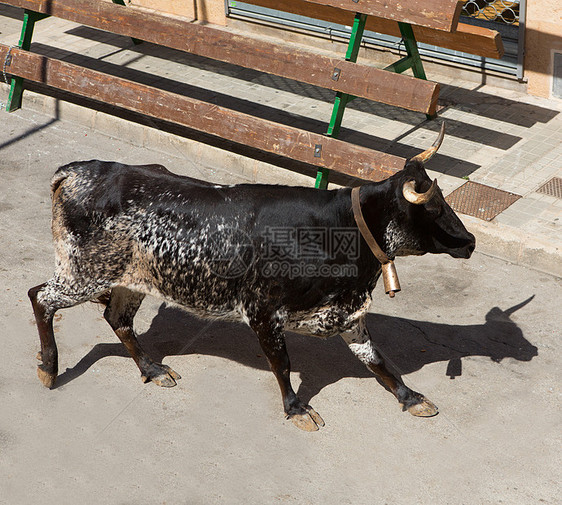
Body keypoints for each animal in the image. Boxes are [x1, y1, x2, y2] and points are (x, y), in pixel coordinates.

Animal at [27, 125, 472, 430]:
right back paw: (50, 368)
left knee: (117, 319)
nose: (468, 241)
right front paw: (296, 408)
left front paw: (411, 397)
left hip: (129, 279)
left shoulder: (347, 315)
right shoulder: (263, 311)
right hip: (83, 274)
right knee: (40, 297)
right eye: (433, 209)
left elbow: (379, 363)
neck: (338, 230)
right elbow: (283, 363)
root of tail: (79, 170)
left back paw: (153, 370)